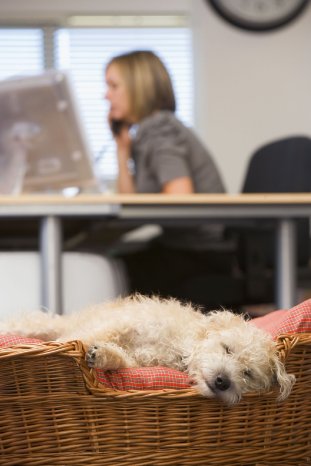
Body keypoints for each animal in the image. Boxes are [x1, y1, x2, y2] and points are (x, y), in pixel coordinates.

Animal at [0, 294, 294, 404]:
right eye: (227, 349)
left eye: (247, 373)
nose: (223, 381)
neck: (179, 347)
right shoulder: (124, 324)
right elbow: (89, 336)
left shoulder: (140, 363)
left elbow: (123, 360)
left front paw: (104, 356)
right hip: (40, 325)